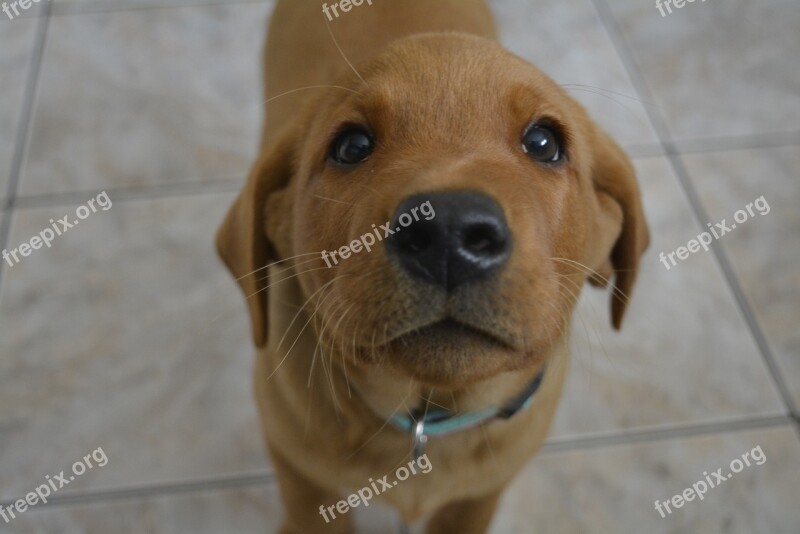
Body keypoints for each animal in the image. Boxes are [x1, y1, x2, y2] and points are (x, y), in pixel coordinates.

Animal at [216, 0, 648, 532]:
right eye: (352, 146)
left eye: (544, 143)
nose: (447, 232)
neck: (424, 418)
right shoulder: (300, 474)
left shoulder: (481, 494)